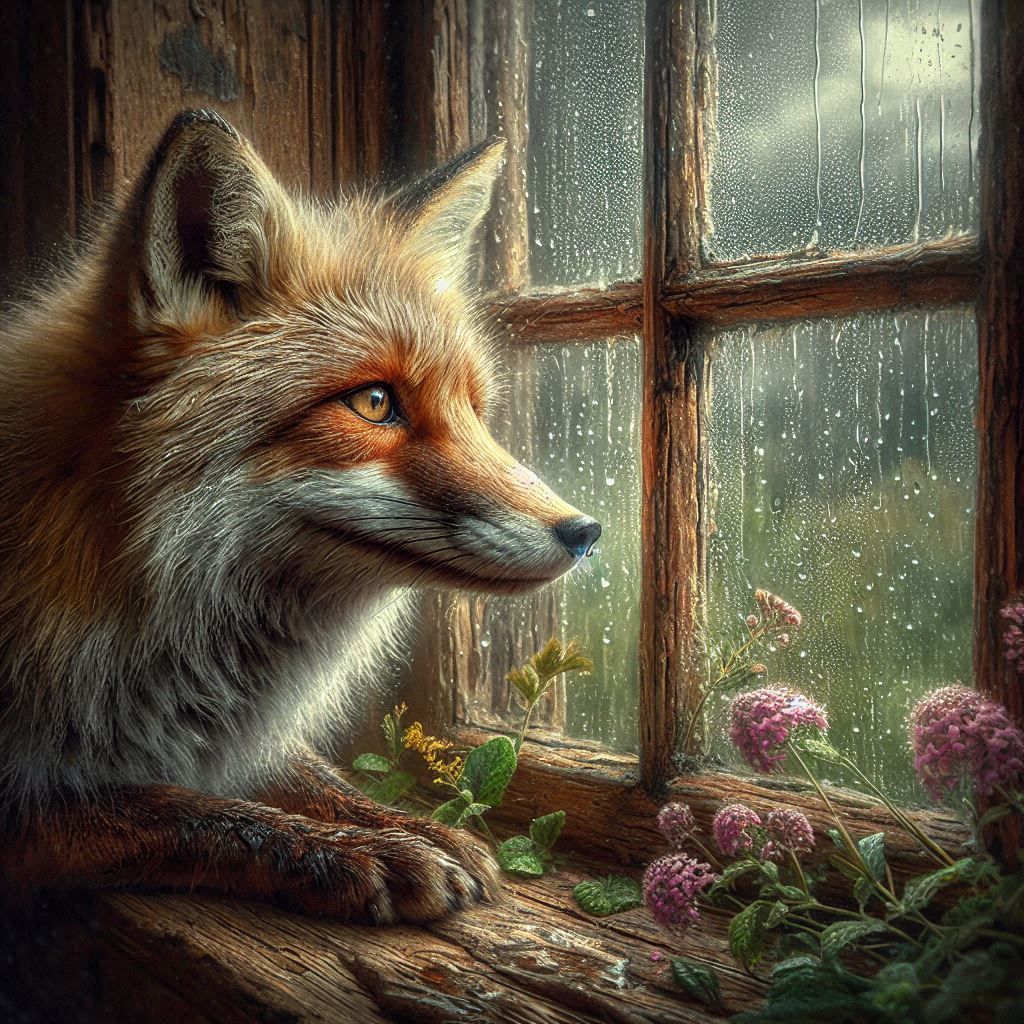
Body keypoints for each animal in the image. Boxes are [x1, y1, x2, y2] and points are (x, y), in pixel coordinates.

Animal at [0, 109, 602, 923]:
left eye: (474, 411)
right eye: (375, 402)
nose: (585, 533)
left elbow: (309, 777)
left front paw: (400, 824)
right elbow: (184, 810)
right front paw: (348, 850)